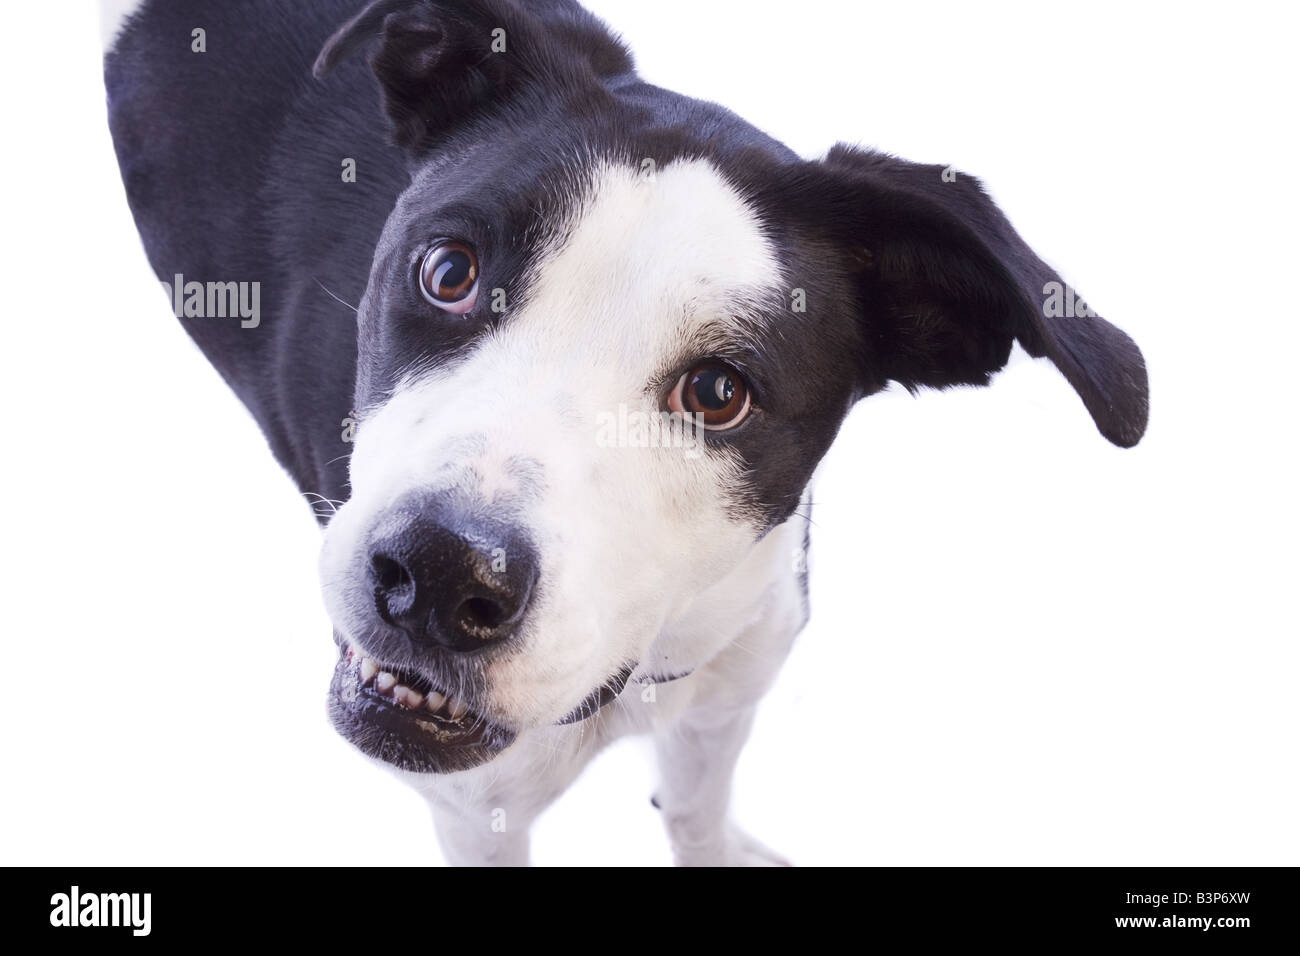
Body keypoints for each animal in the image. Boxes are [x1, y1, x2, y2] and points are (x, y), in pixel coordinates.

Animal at [104, 0, 1149, 868]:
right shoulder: (479, 814)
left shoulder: (723, 699)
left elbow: (695, 816)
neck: (636, 667)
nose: (437, 576)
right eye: (448, 270)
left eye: (720, 392)